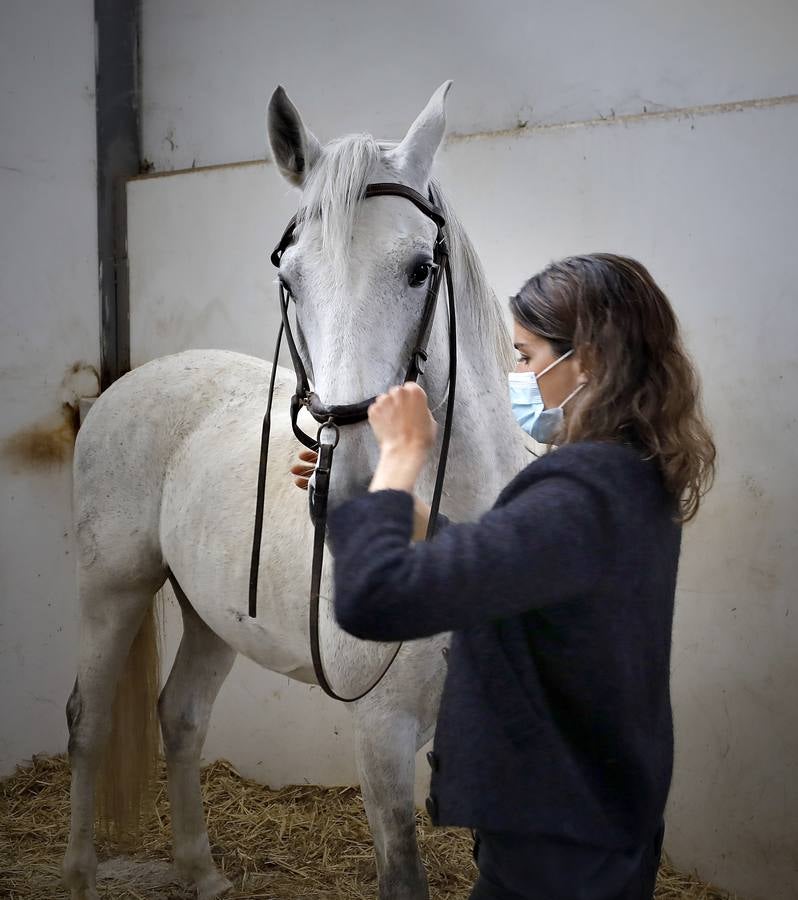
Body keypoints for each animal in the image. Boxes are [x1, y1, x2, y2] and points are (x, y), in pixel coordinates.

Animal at [64, 81, 532, 896]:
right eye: (289, 280)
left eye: (420, 269)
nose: (350, 487)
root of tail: (126, 385)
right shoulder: (382, 735)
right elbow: (401, 874)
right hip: (112, 590)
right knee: (88, 724)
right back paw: (80, 875)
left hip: (211, 613)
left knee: (180, 716)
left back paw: (202, 872)